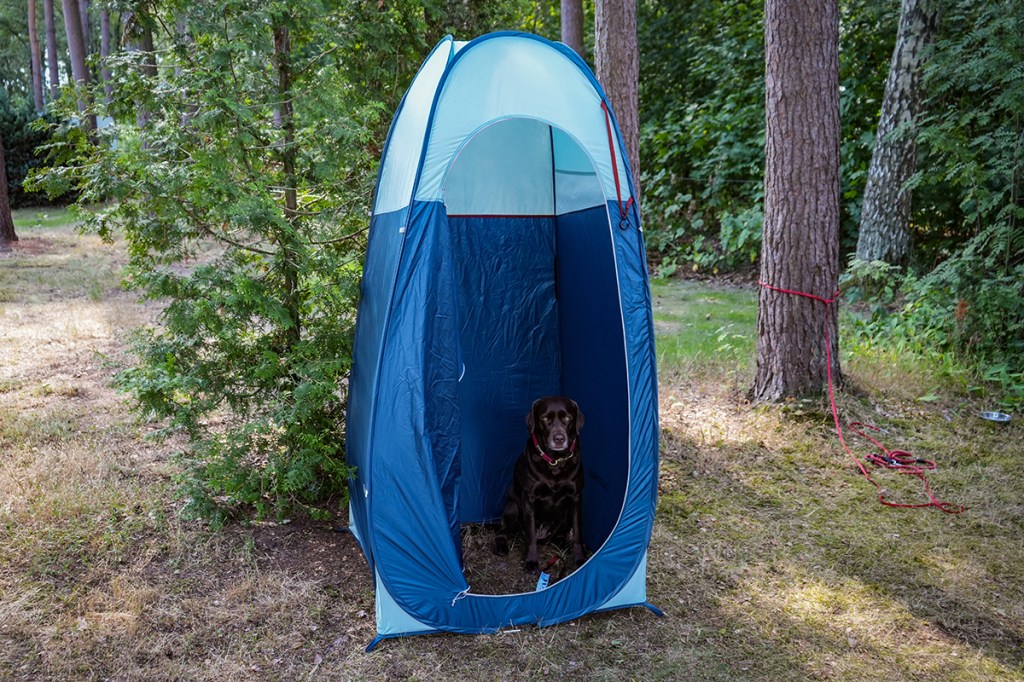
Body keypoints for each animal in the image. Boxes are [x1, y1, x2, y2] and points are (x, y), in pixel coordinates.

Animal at [493, 395, 585, 569]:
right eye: (545, 419)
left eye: (567, 418)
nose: (559, 439)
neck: (555, 462)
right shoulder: (529, 499)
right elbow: (530, 535)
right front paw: (531, 561)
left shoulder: (576, 498)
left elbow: (578, 533)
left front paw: (579, 559)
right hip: (513, 509)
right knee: (501, 532)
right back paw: (501, 546)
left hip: (566, 514)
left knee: (560, 534)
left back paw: (562, 543)